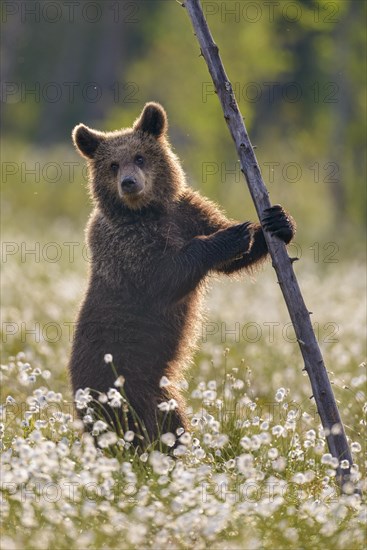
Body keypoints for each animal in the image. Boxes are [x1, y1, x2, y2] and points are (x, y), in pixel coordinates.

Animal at [69, 102, 296, 448]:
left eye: (140, 157)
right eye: (112, 164)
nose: (129, 183)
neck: (146, 211)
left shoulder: (187, 211)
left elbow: (229, 257)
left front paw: (275, 222)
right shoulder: (125, 245)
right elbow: (164, 276)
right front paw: (231, 236)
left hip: (158, 390)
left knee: (170, 421)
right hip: (117, 380)